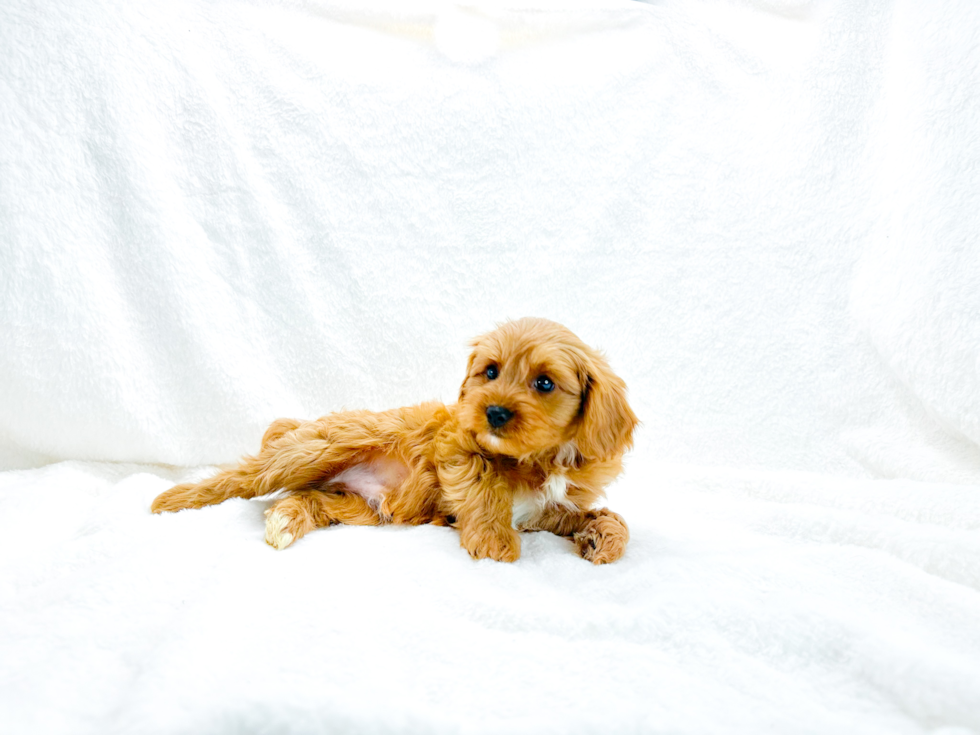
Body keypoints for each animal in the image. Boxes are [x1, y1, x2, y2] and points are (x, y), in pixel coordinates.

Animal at [146, 316, 636, 564]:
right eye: (491, 371)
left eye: (545, 383)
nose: (493, 412)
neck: (542, 459)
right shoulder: (455, 443)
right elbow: (483, 485)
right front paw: (495, 540)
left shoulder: (551, 511)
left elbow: (603, 515)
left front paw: (604, 539)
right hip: (309, 451)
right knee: (241, 477)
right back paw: (172, 500)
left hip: (359, 508)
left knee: (305, 499)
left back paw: (285, 520)